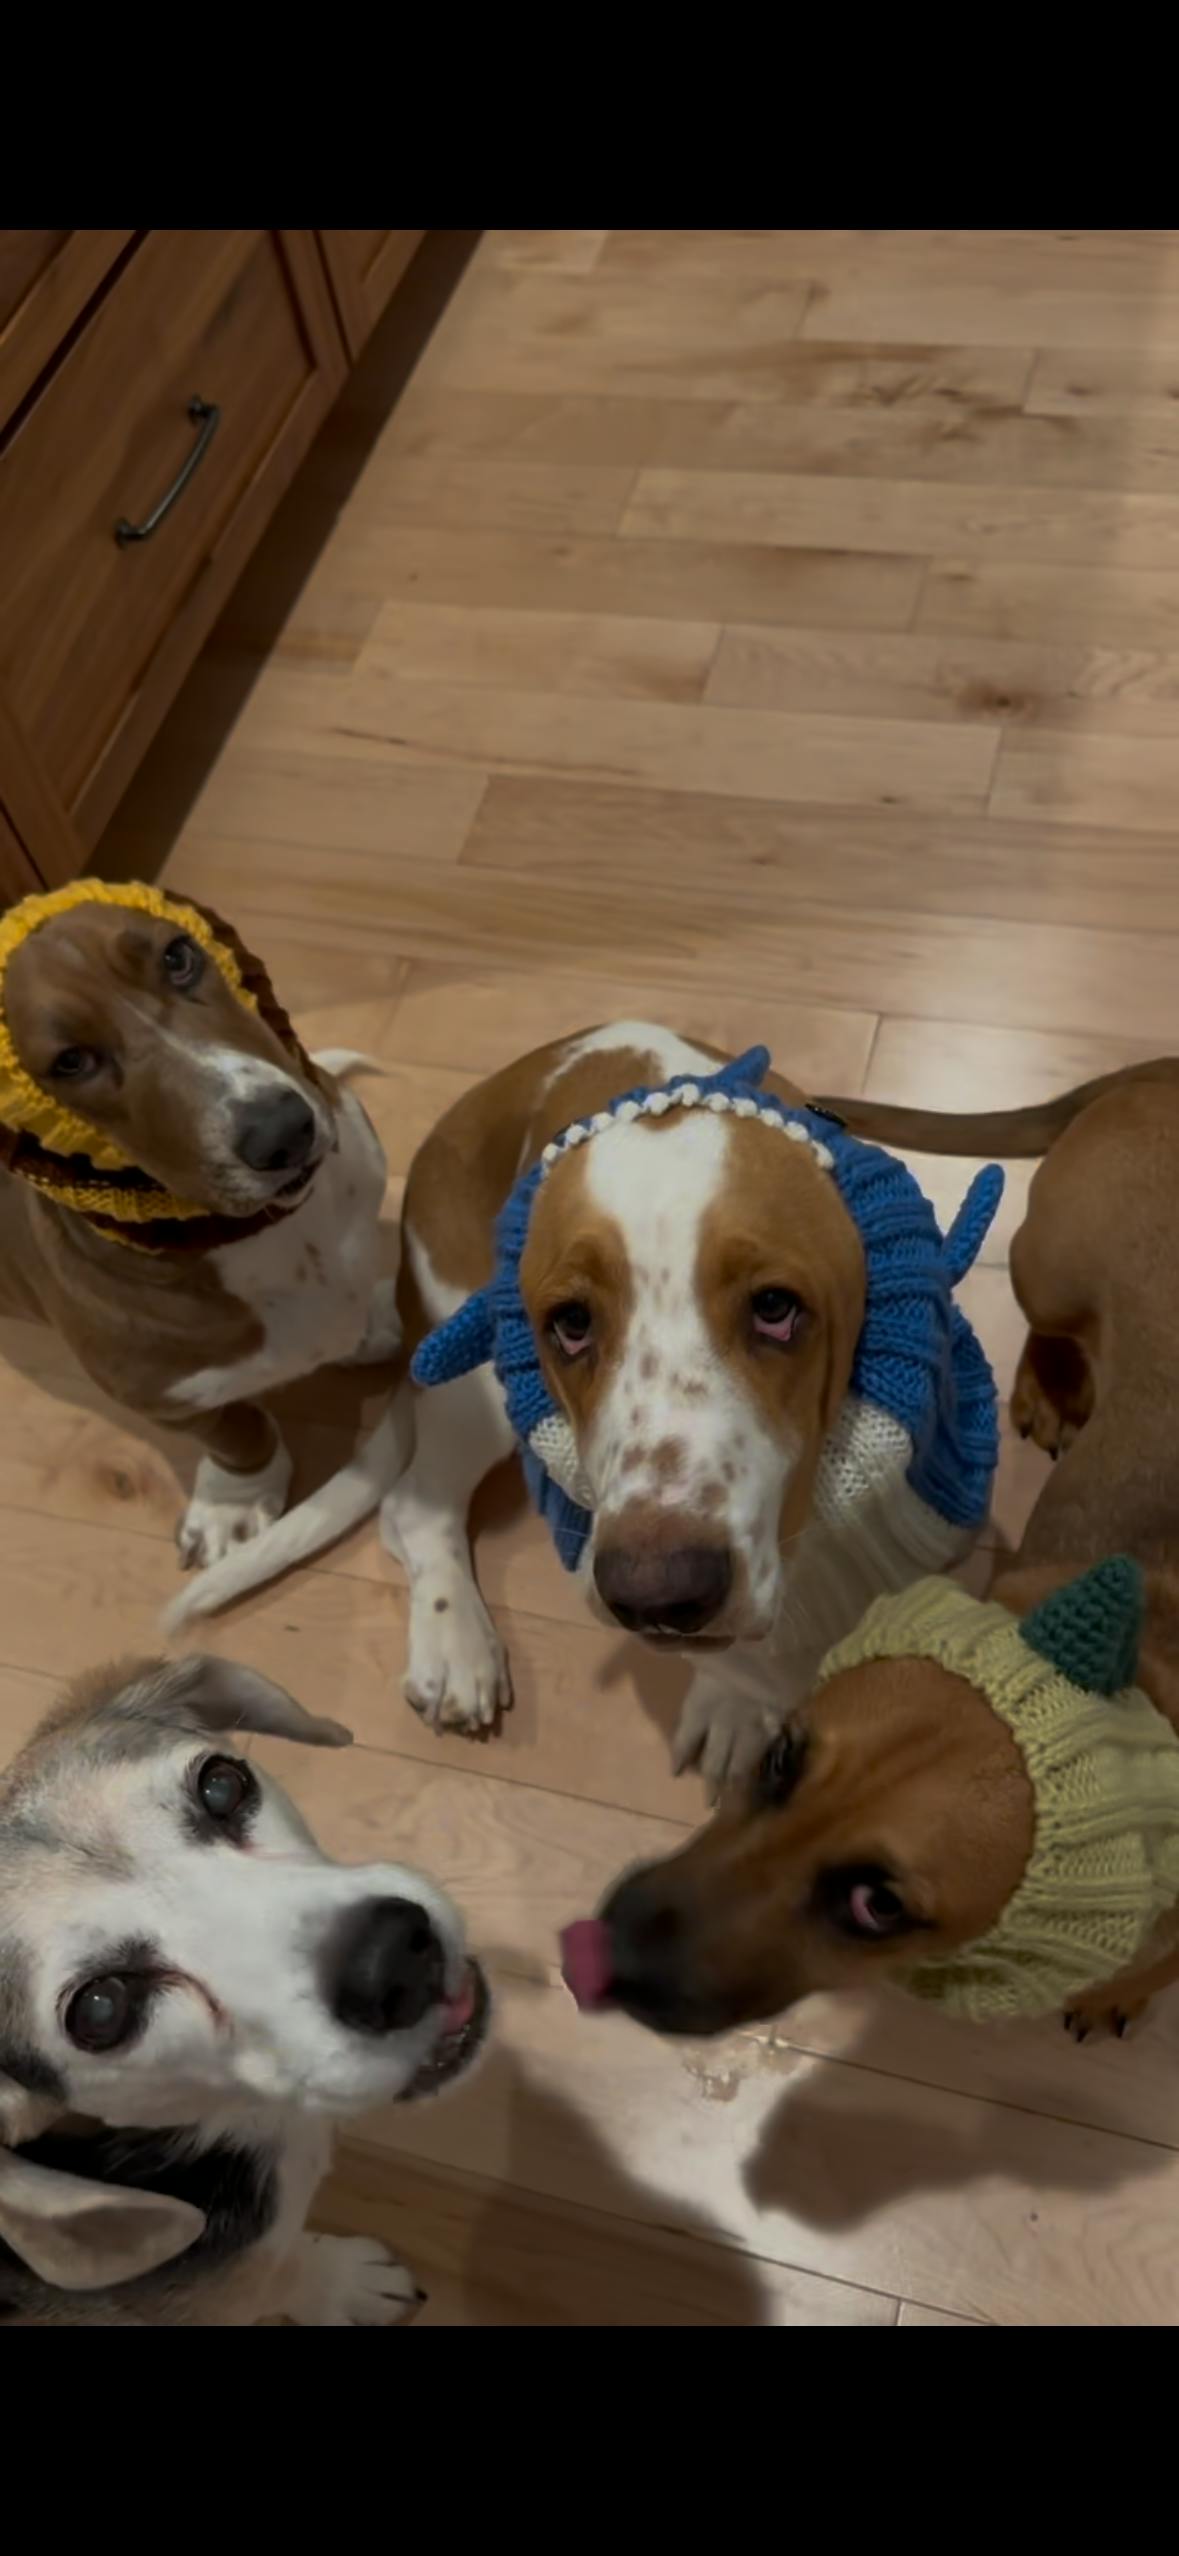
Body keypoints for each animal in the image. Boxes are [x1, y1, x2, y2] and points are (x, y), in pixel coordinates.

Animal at [0, 881, 399, 1574]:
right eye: (71, 1061)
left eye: (178, 957)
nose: (283, 1131)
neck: (260, 1232)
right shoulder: (165, 1398)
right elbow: (237, 1430)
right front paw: (233, 1504)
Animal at [169, 1022, 1001, 1790]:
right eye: (569, 1323)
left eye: (775, 1308)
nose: (656, 1595)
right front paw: (739, 1700)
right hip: (480, 1380)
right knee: (415, 1506)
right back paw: (455, 1643)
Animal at [569, 1057, 1179, 2043]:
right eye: (781, 1758)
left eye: (877, 1907)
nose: (604, 1950)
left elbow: (1152, 1966)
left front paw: (1114, 1991)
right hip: (1049, 1263)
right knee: (1051, 1325)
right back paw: (1048, 1388)